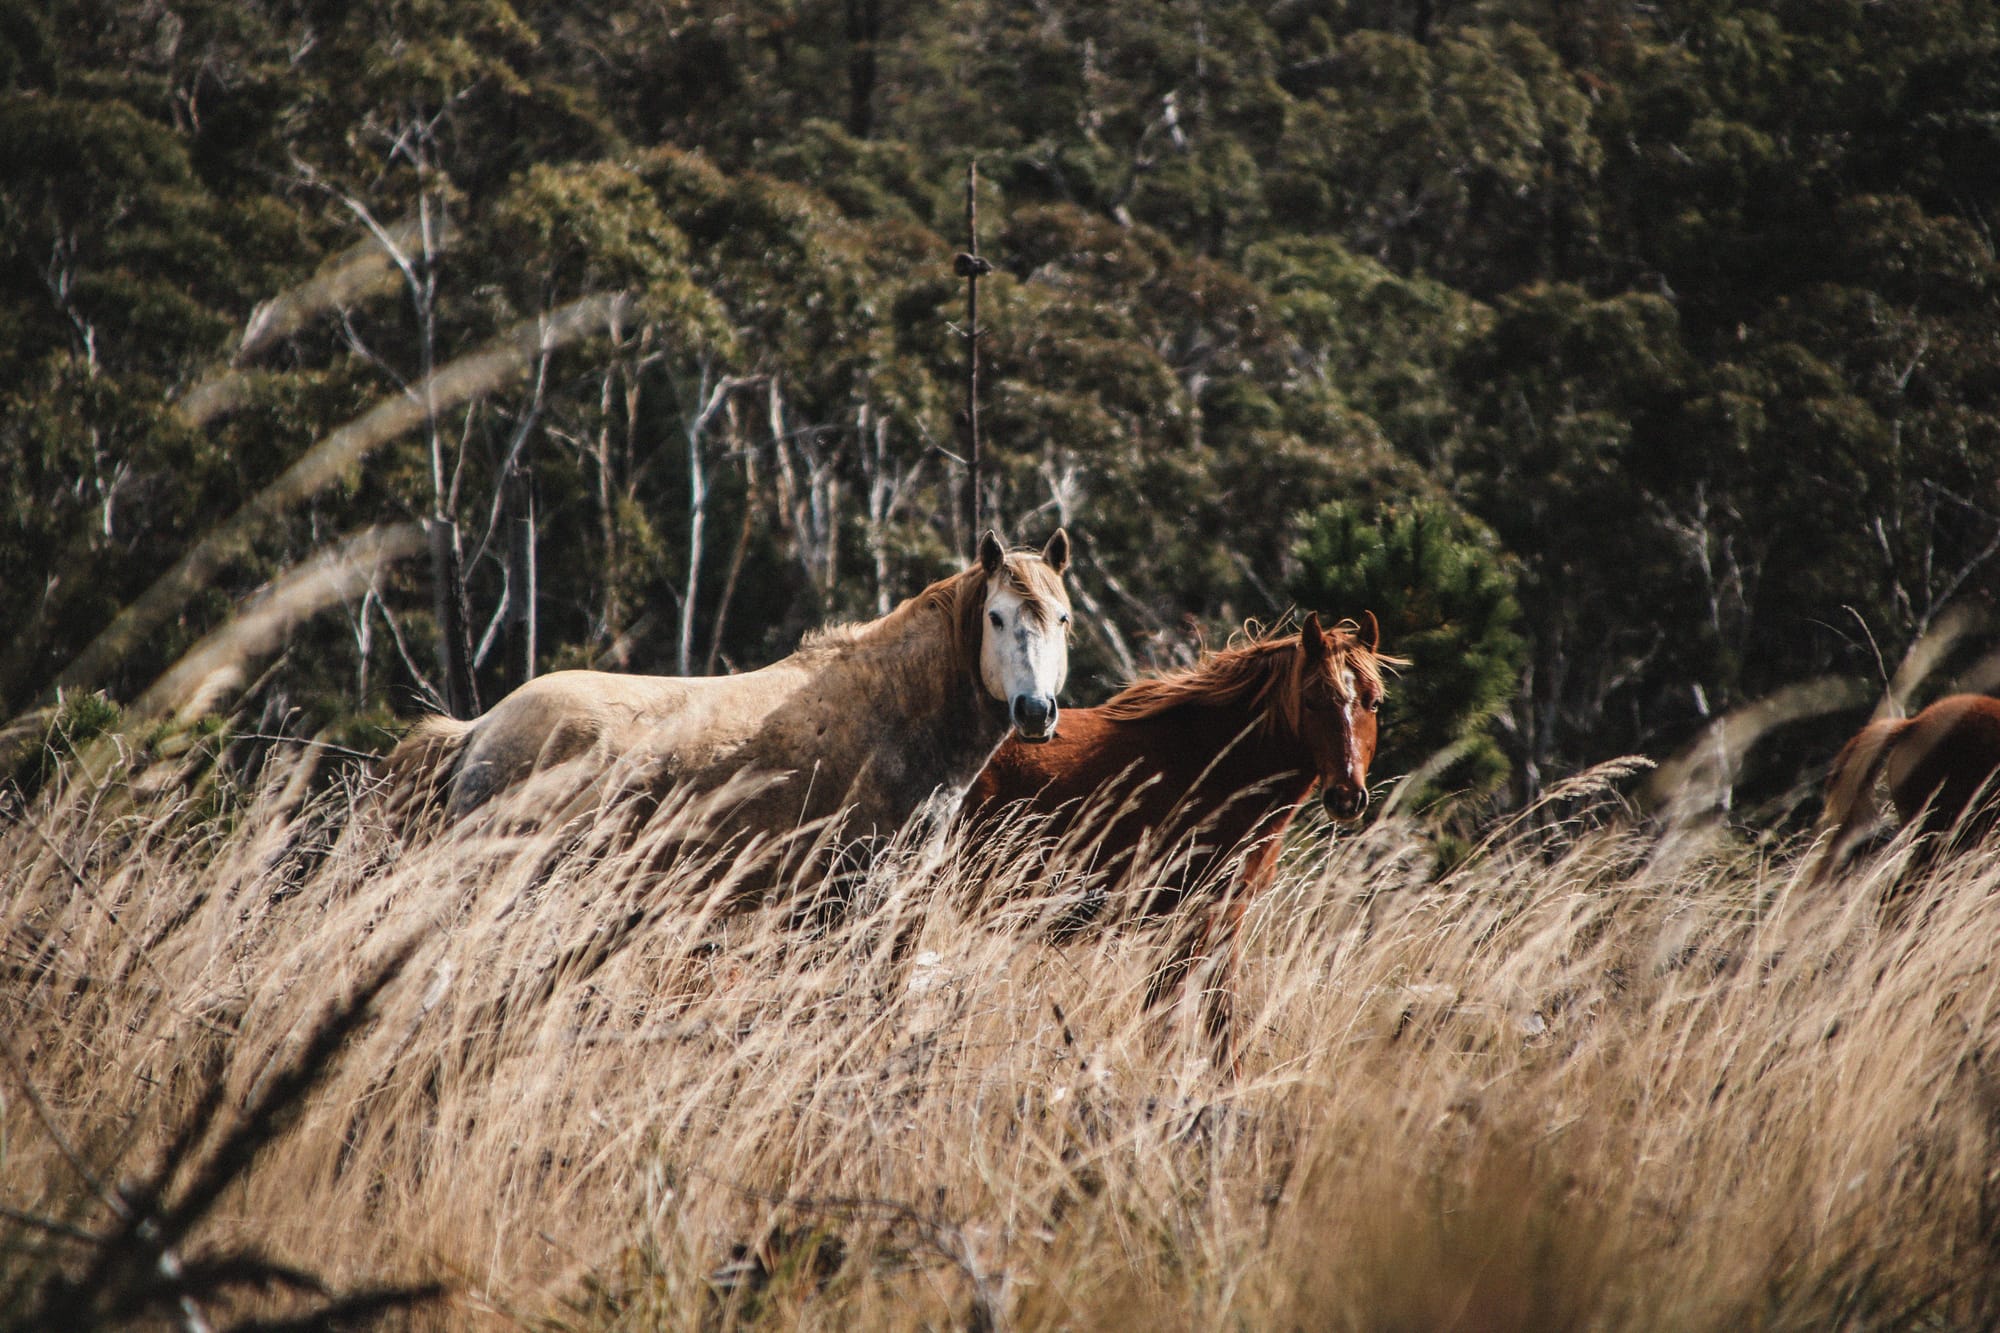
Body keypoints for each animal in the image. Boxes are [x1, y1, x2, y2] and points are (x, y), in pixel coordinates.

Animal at [964, 612, 1400, 1056]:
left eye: (1373, 702)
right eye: (1312, 700)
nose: (1346, 796)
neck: (1214, 764)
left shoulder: (1224, 916)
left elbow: (1218, 1022)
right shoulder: (1183, 920)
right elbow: (1171, 1023)